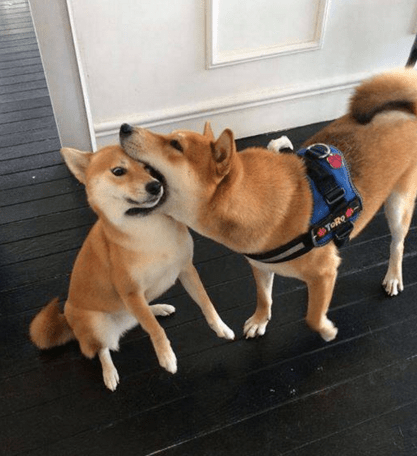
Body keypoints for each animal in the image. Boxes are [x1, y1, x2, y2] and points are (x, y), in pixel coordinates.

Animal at [30, 145, 234, 391]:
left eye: (148, 168)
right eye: (118, 171)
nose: (155, 185)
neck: (148, 228)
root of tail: (67, 322)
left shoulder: (186, 269)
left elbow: (206, 303)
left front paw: (221, 327)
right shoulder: (130, 292)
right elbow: (155, 329)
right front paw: (166, 356)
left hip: (132, 308)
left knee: (141, 316)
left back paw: (158, 308)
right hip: (96, 324)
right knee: (102, 349)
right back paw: (109, 373)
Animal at [119, 68, 417, 343]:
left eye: (175, 144)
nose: (124, 127)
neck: (250, 201)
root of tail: (405, 111)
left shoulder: (323, 271)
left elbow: (313, 316)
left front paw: (327, 330)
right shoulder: (260, 265)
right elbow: (264, 297)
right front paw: (260, 321)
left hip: (398, 205)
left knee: (397, 244)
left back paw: (393, 276)